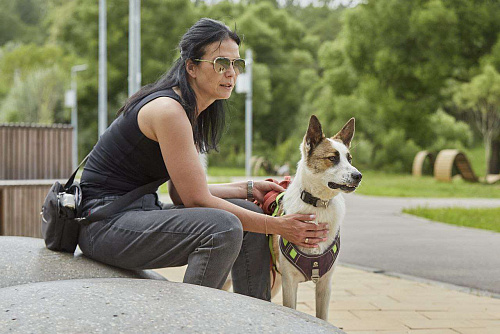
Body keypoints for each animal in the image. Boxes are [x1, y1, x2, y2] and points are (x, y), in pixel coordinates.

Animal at [272, 115, 362, 320]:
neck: (319, 204)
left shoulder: (325, 285)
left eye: (349, 158)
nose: (358, 175)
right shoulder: (289, 283)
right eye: (332, 158)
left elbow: (322, 316)